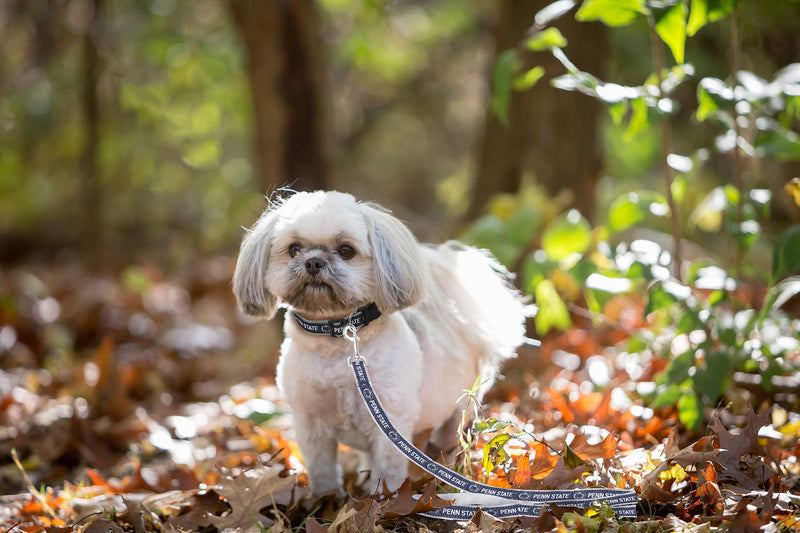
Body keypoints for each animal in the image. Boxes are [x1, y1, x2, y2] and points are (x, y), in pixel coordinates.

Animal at [231, 189, 528, 492]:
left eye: (346, 250)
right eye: (294, 249)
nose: (313, 262)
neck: (337, 339)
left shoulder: (390, 421)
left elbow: (387, 469)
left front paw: (383, 498)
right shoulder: (310, 424)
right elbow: (322, 469)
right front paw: (327, 497)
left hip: (459, 408)